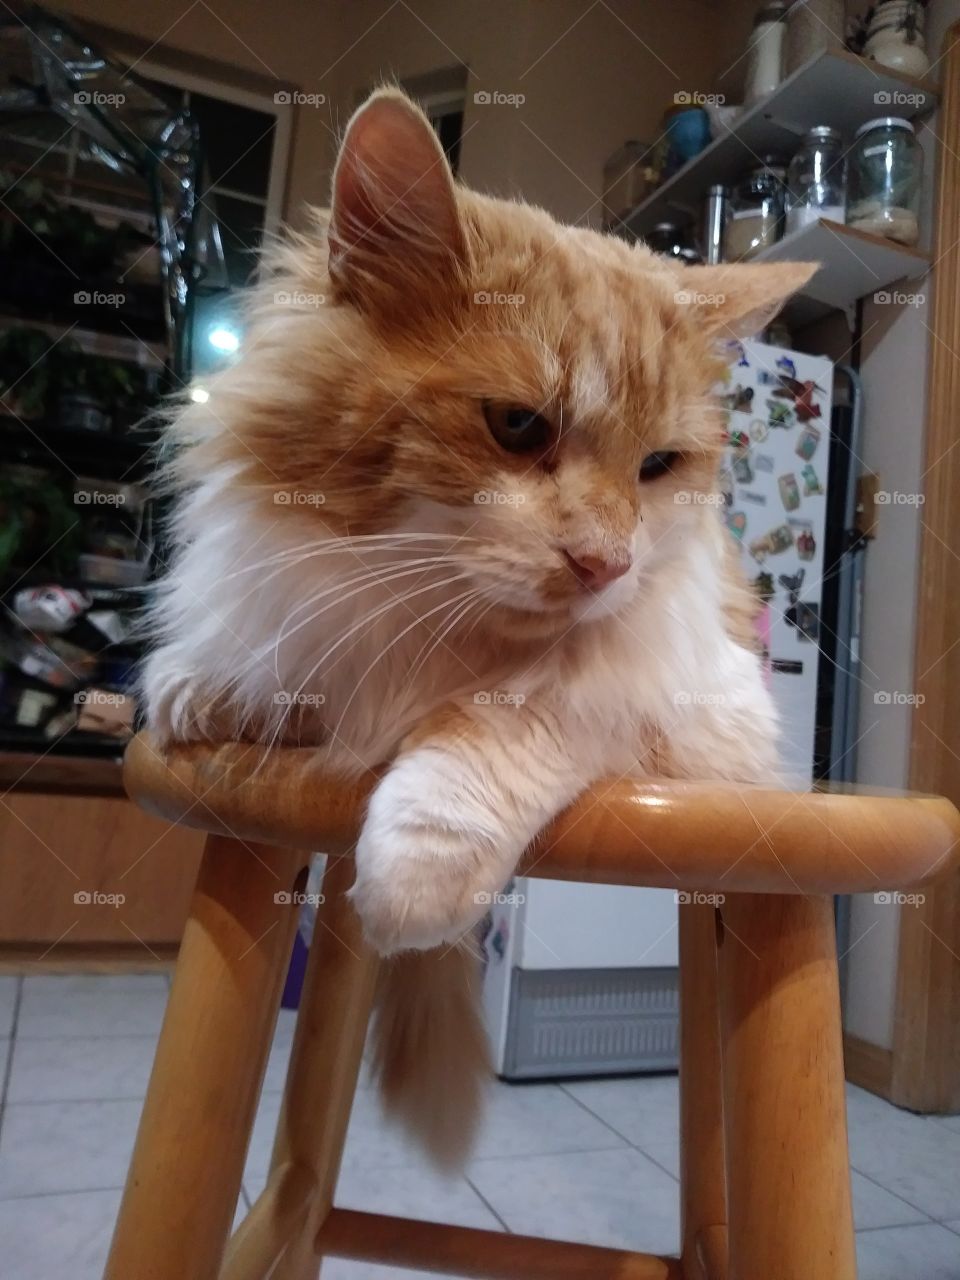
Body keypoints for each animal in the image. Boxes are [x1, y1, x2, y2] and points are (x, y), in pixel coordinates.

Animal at [142, 90, 814, 1167]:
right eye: (516, 426)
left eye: (658, 466)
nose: (606, 564)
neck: (427, 615)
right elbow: (283, 671)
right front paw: (207, 689)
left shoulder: (694, 701)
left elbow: (512, 718)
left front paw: (417, 863)